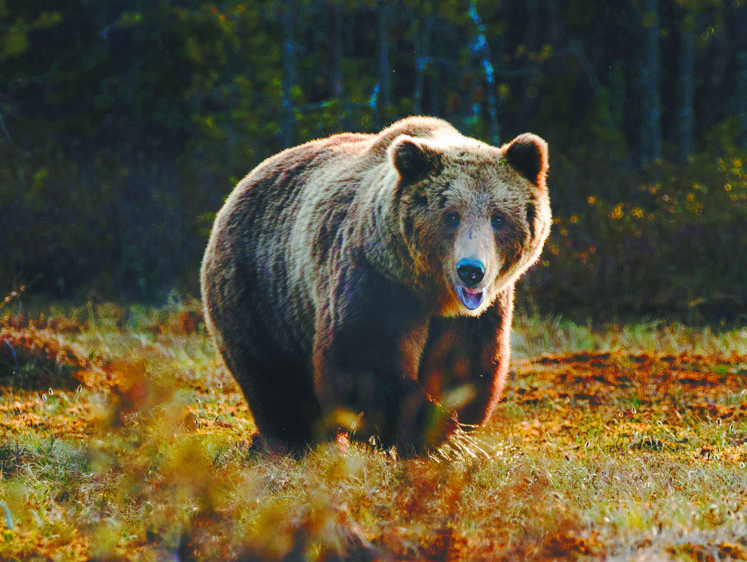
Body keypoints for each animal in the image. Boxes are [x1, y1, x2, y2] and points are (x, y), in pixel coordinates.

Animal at [202, 116, 552, 452]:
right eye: (451, 216)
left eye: (498, 218)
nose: (471, 270)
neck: (433, 293)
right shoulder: (377, 277)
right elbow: (363, 361)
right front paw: (436, 434)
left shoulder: (480, 312)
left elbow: (465, 366)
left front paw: (451, 430)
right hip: (261, 291)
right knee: (275, 382)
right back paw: (295, 444)